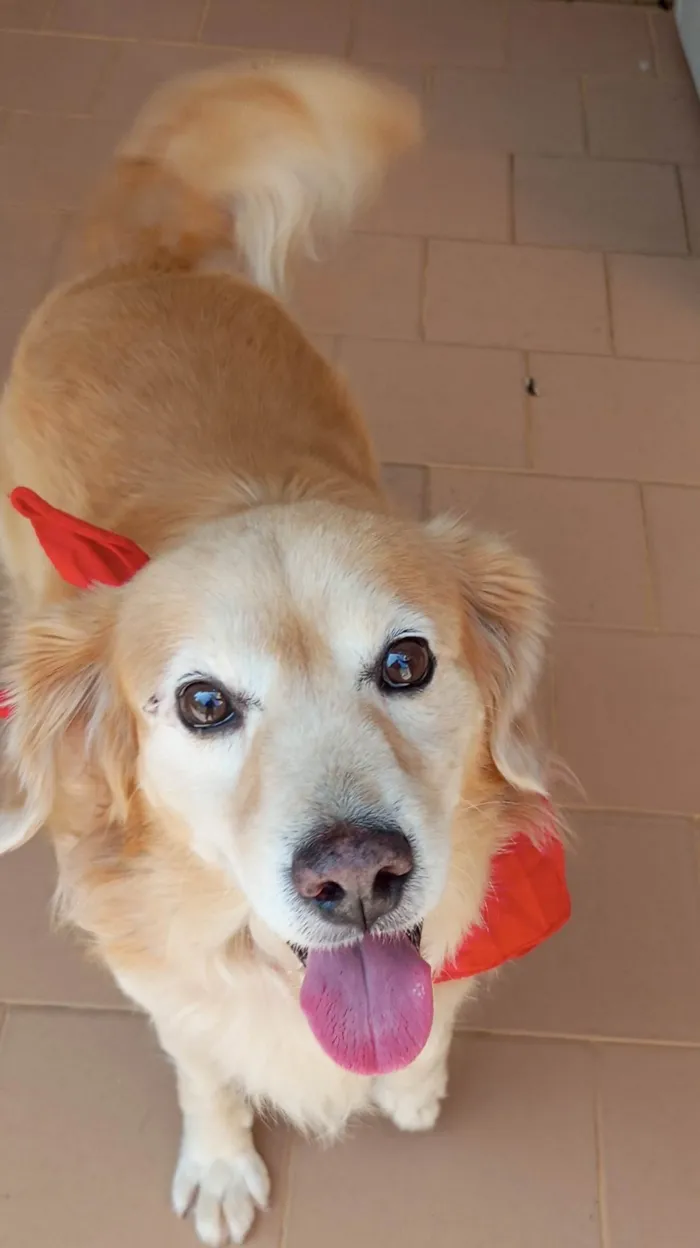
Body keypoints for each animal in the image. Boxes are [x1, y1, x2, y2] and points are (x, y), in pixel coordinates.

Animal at [0, 60, 551, 1248]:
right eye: (203, 703)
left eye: (406, 664)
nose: (358, 877)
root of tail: (145, 257)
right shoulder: (164, 978)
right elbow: (206, 1064)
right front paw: (221, 1164)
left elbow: (431, 1014)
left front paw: (412, 1084)